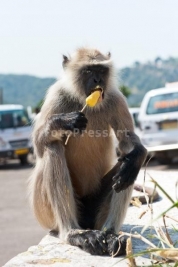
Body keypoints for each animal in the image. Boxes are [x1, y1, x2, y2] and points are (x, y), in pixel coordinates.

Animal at [28, 48, 147, 258]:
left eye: (101, 70)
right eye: (88, 71)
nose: (98, 80)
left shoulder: (115, 98)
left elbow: (127, 142)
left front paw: (138, 155)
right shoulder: (57, 95)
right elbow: (38, 144)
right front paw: (63, 122)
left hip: (94, 211)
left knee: (127, 165)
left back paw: (110, 234)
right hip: (44, 213)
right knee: (53, 147)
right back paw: (75, 233)